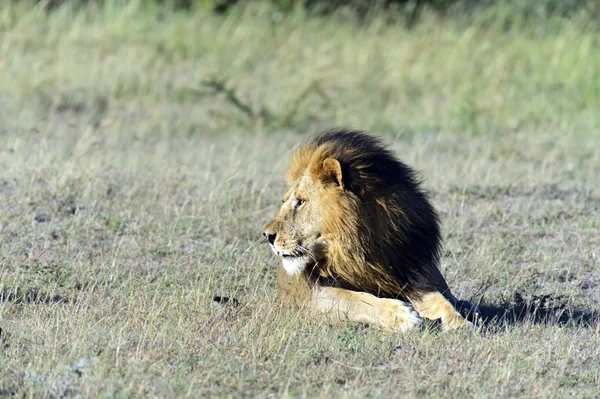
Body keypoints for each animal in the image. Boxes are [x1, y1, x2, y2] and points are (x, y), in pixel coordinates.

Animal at [264, 129, 480, 332]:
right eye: (284, 201)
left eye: (300, 201)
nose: (267, 235)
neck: (362, 250)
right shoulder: (312, 297)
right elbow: (354, 299)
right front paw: (402, 315)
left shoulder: (415, 275)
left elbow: (441, 301)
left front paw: (461, 323)